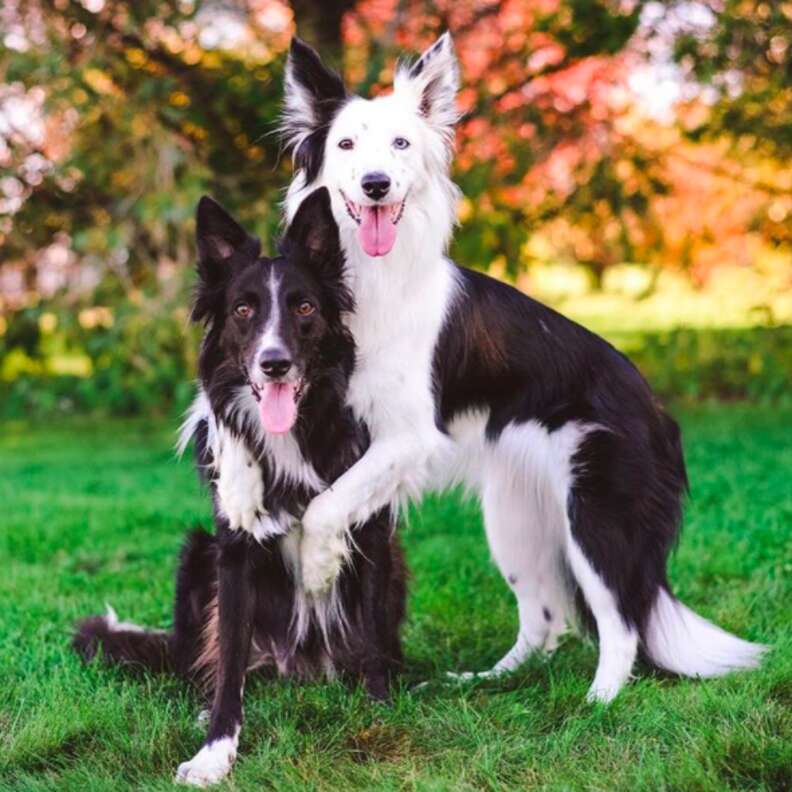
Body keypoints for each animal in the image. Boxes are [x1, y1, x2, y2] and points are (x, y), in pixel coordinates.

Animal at [71, 190, 406, 784]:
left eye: (304, 308)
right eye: (243, 310)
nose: (275, 364)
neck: (294, 433)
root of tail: (291, 665)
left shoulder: (371, 533)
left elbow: (372, 639)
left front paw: (379, 709)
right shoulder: (231, 552)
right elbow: (227, 661)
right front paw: (215, 749)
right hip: (195, 555)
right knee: (203, 664)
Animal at [198, 34, 768, 704]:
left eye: (400, 144)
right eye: (345, 145)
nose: (375, 185)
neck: (364, 282)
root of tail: (653, 403)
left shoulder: (407, 436)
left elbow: (326, 505)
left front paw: (316, 566)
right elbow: (228, 411)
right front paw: (240, 489)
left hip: (596, 517)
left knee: (621, 622)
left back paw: (596, 704)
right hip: (516, 521)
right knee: (545, 620)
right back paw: (490, 680)